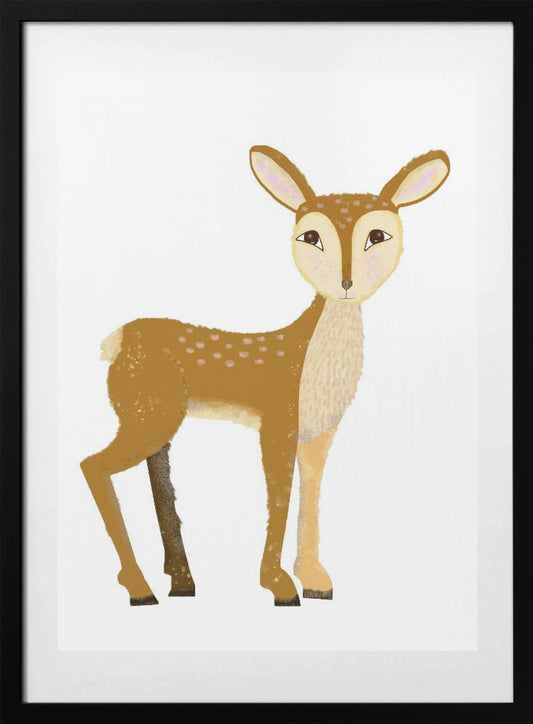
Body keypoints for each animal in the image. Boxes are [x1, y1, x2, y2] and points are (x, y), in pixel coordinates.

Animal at [80, 145, 450, 607]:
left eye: (378, 235)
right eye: (310, 237)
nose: (346, 282)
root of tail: (116, 339)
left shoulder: (318, 435)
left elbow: (310, 495)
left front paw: (315, 580)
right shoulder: (277, 422)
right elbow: (280, 498)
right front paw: (279, 586)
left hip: (154, 417)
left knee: (156, 476)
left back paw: (179, 582)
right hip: (149, 415)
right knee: (92, 465)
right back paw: (140, 588)